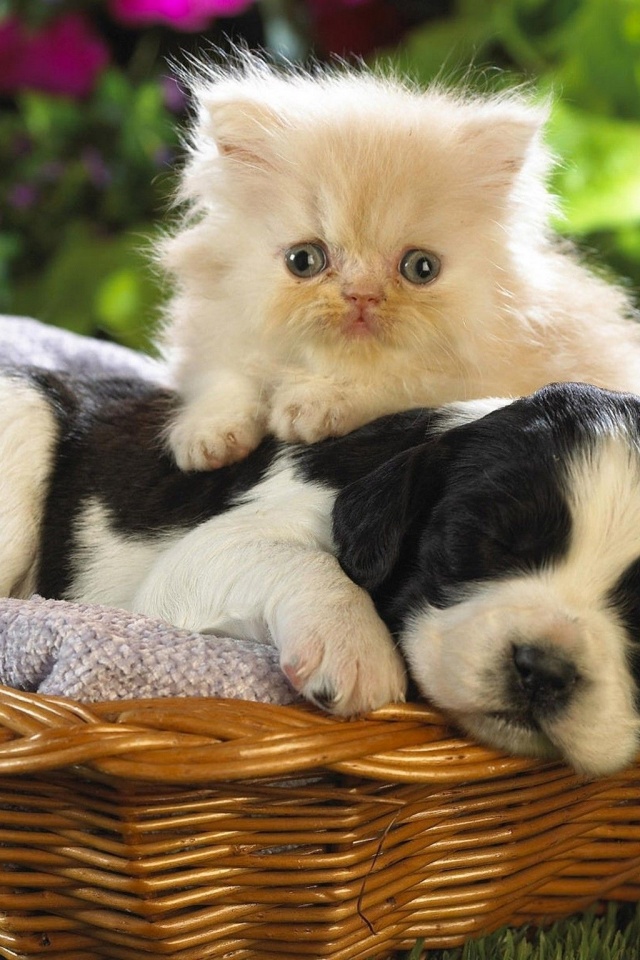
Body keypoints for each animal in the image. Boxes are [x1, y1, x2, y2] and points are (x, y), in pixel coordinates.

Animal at [3, 364, 640, 776]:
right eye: (484, 542)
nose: (545, 670)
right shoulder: (202, 555)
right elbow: (305, 560)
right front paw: (355, 649)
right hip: (25, 417)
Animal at [159, 53, 640, 472]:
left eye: (421, 268)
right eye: (304, 260)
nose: (362, 295)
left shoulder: (482, 381)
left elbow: (398, 380)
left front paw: (313, 403)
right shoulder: (216, 334)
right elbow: (225, 375)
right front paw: (207, 434)